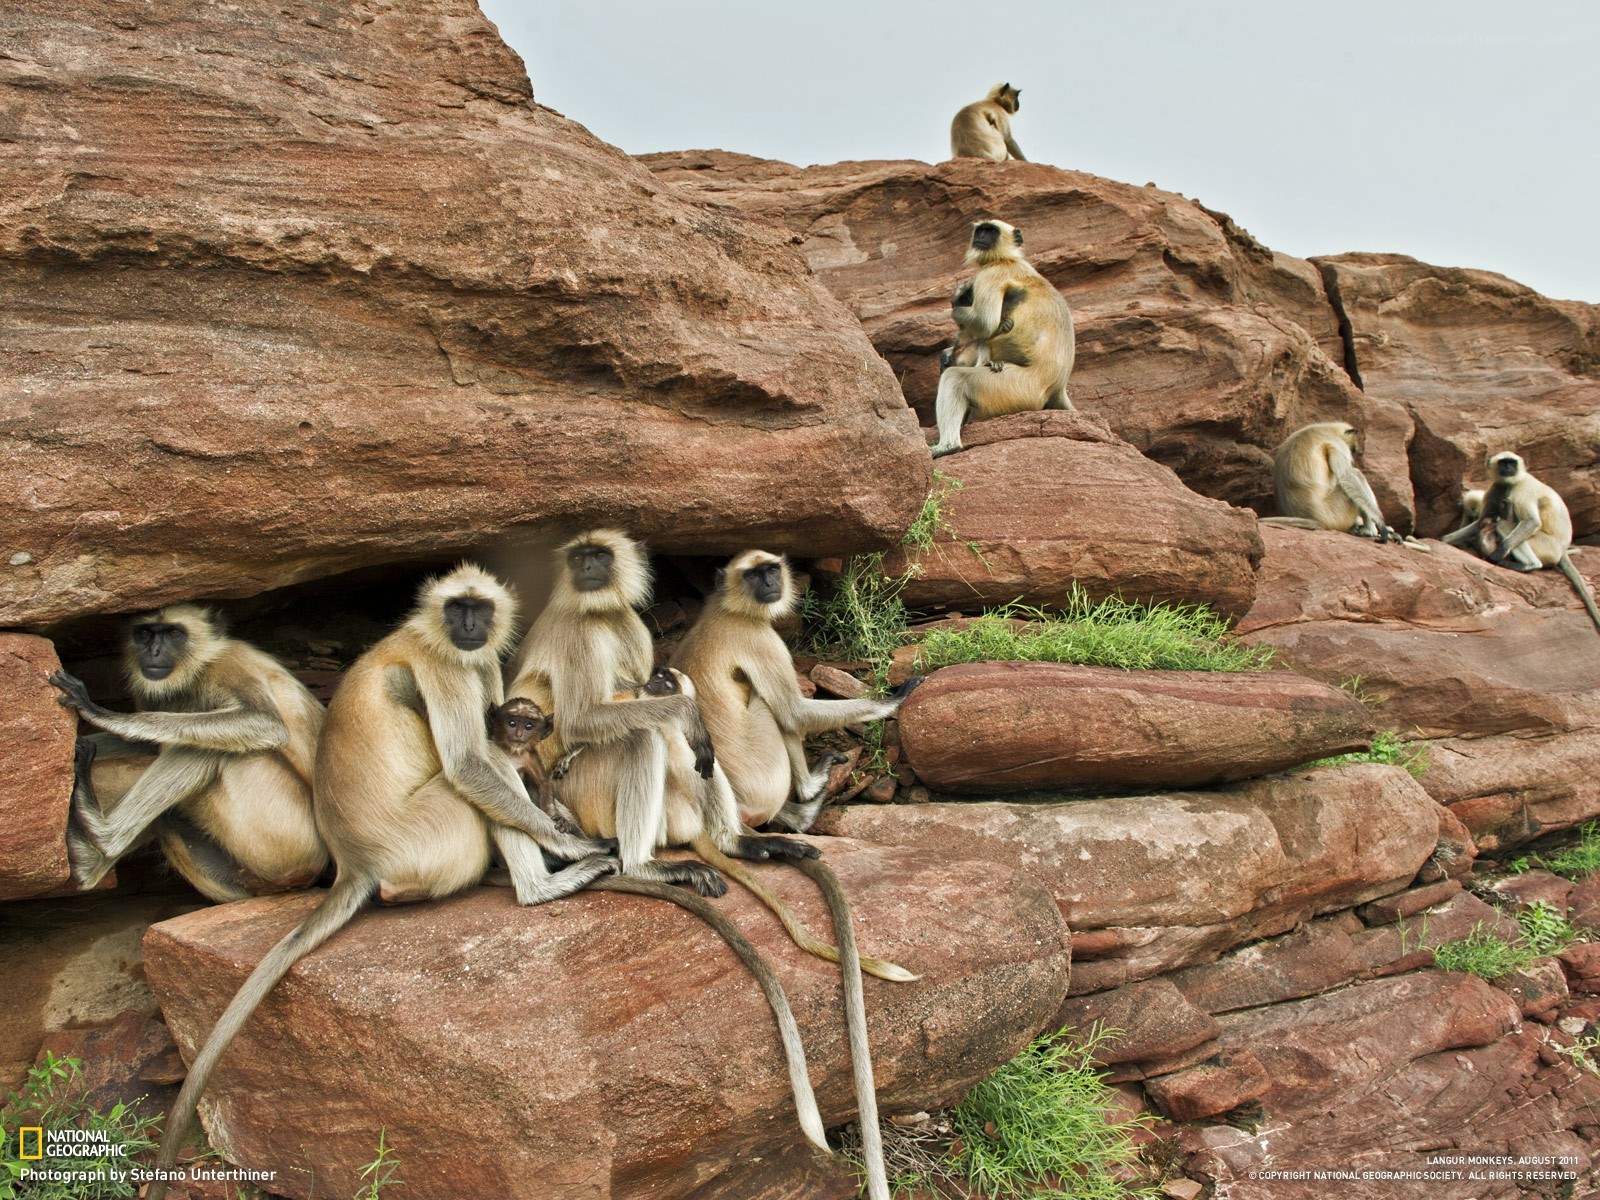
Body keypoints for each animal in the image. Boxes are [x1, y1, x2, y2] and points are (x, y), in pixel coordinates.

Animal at [48, 605, 329, 904]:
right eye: (145, 633)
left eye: (173, 633)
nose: (154, 651)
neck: (198, 669)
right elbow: (146, 746)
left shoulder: (230, 663)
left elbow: (267, 723)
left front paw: (103, 714)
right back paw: (84, 860)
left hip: (285, 835)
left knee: (209, 748)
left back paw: (104, 834)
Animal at [144, 565, 617, 1198]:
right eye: (457, 608)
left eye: (480, 609)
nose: (470, 626)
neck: (438, 639)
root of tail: (355, 862)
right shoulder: (445, 667)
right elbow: (472, 762)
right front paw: (568, 844)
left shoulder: (479, 666)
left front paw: (563, 820)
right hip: (428, 837)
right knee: (479, 764)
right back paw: (541, 888)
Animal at [929, 220, 1075, 458]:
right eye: (980, 231)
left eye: (990, 232)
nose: (981, 237)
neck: (1008, 259)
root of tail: (1059, 386)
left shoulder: (991, 274)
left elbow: (984, 323)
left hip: (1018, 388)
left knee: (956, 377)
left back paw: (948, 446)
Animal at [1442, 451, 1600, 634]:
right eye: (1503, 463)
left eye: (1512, 463)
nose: (1508, 468)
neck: (1510, 483)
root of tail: (1562, 549)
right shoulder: (1496, 487)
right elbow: (1480, 522)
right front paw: (1443, 540)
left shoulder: (1521, 487)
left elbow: (1532, 521)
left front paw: (1496, 556)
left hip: (1546, 546)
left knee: (1504, 525)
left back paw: (1528, 565)